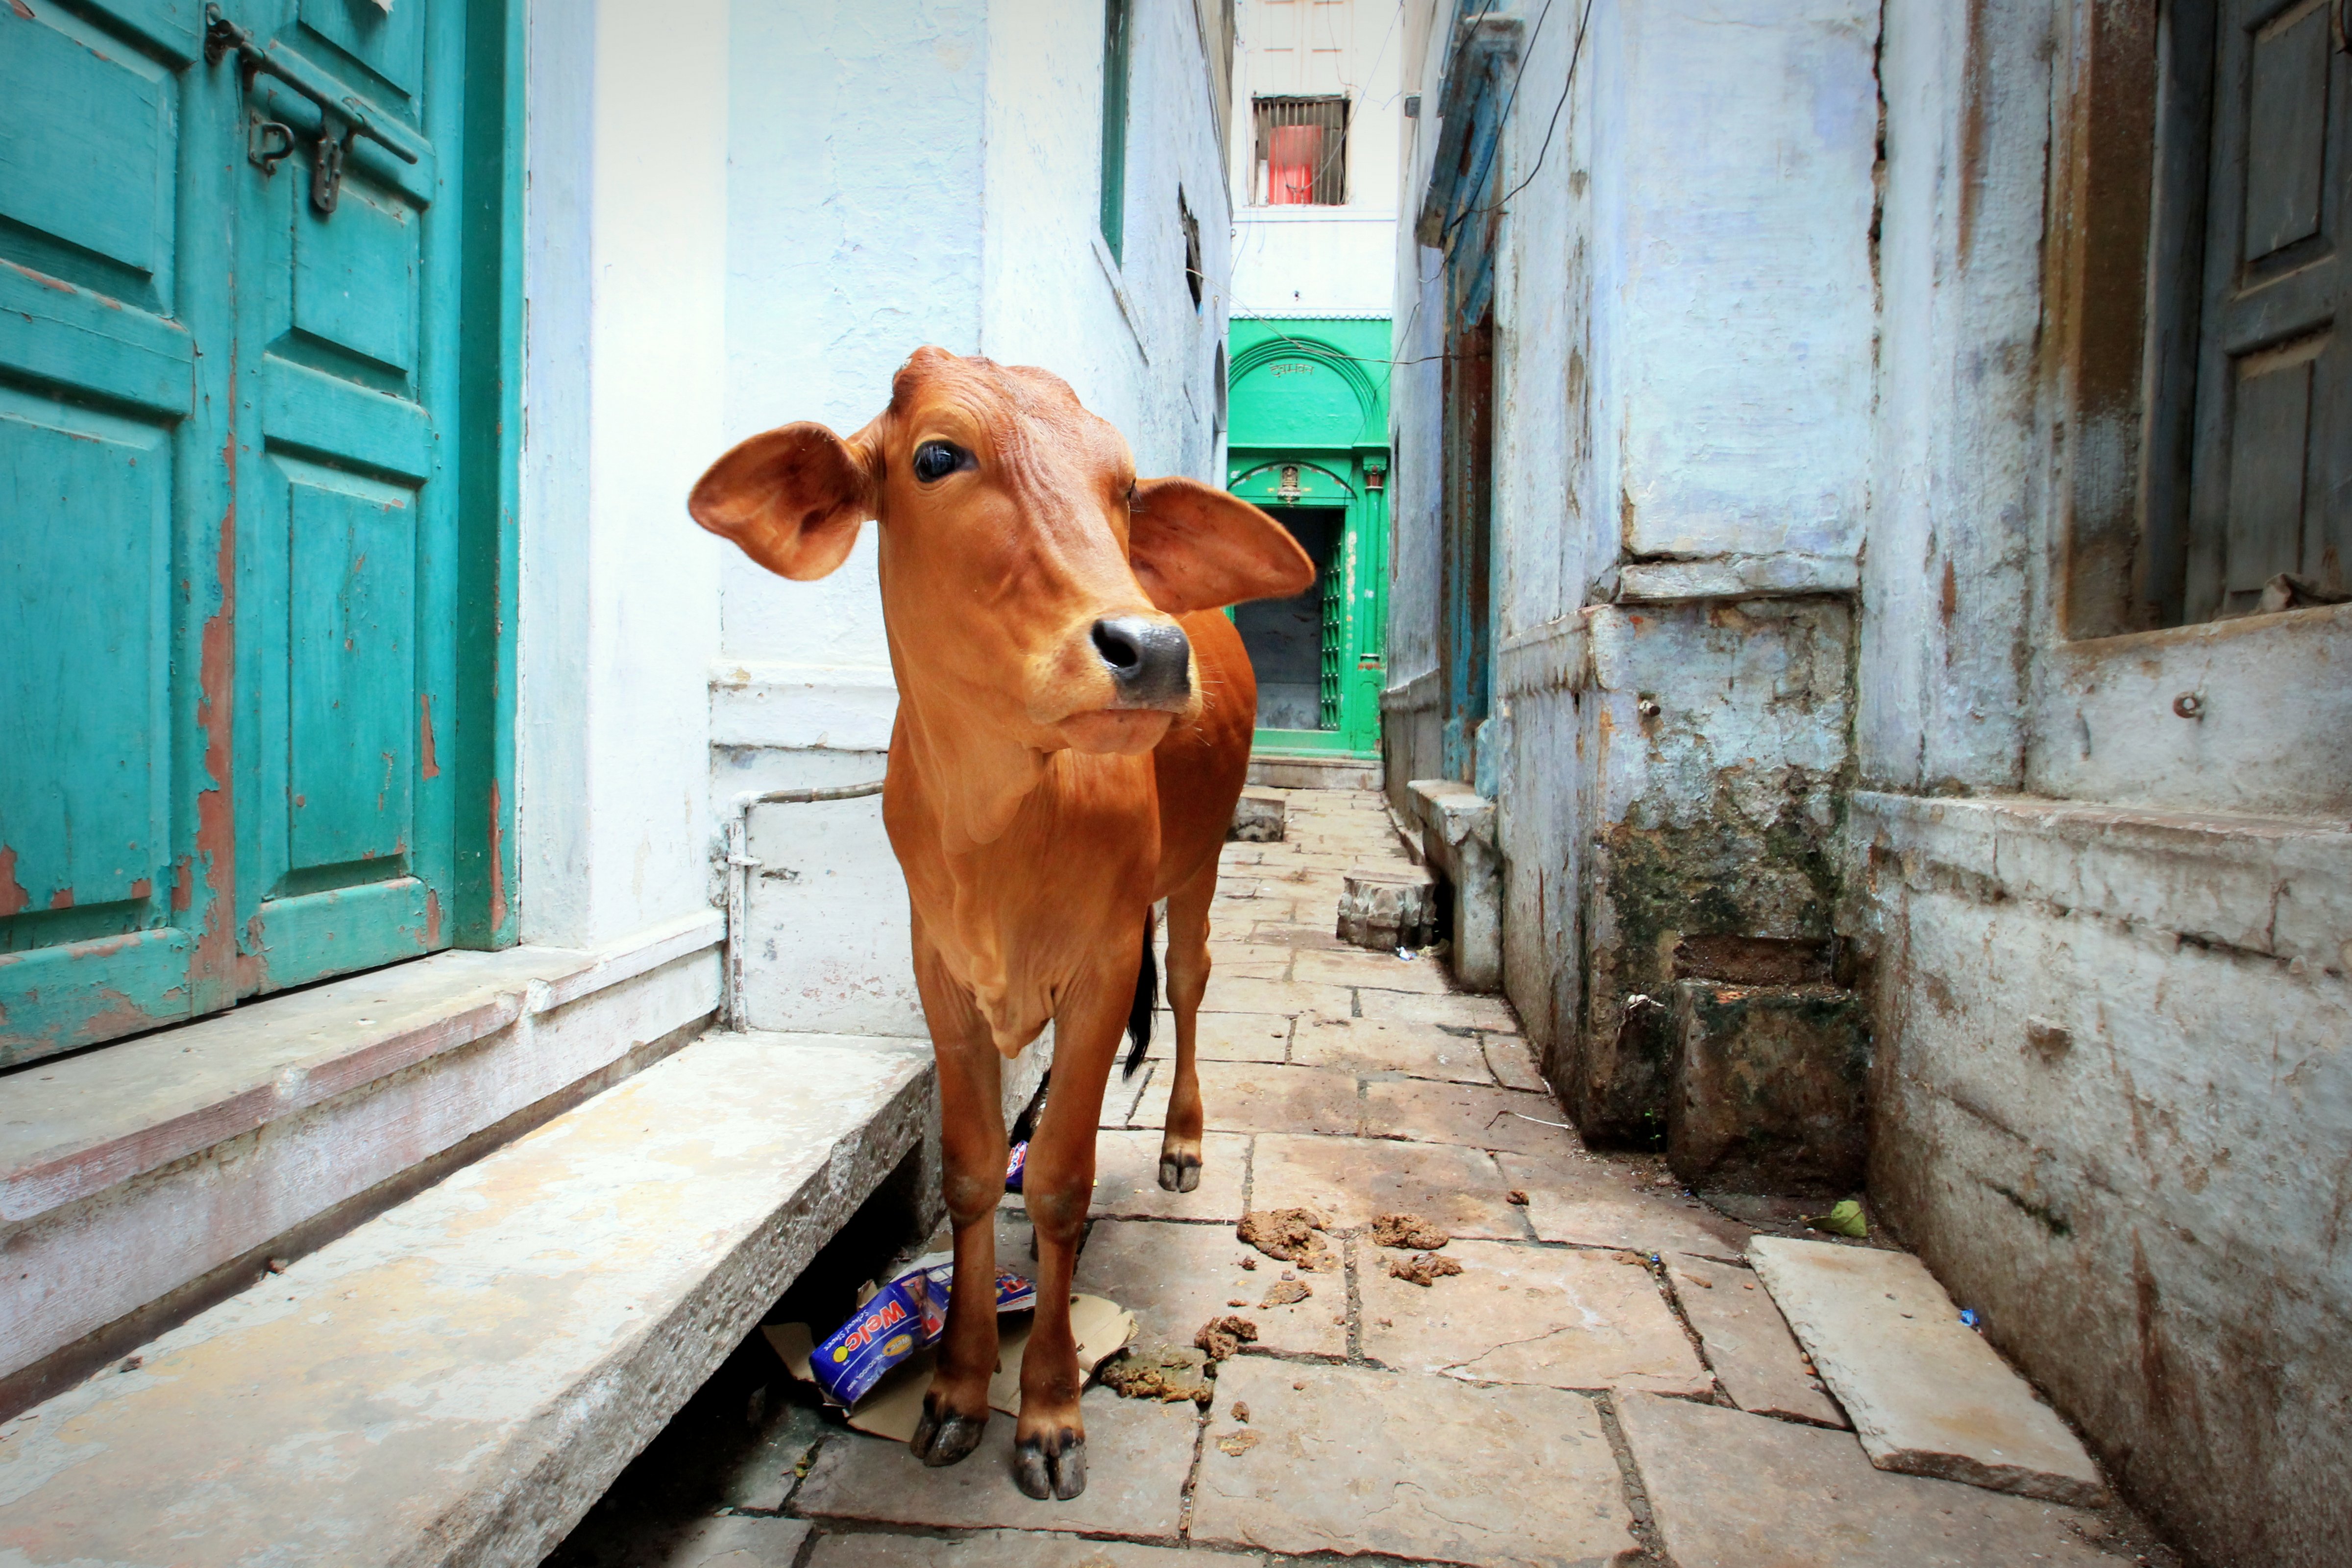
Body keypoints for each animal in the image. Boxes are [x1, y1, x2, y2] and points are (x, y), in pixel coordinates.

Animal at [688, 348, 1313, 1500]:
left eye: (1124, 487)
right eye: (938, 455)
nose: (1150, 650)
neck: (1000, 818)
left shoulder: (1102, 964)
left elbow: (1061, 1182)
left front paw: (1052, 1412)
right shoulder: (939, 968)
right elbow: (976, 1172)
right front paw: (958, 1389)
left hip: (1198, 865)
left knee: (1190, 984)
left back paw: (1182, 1141)